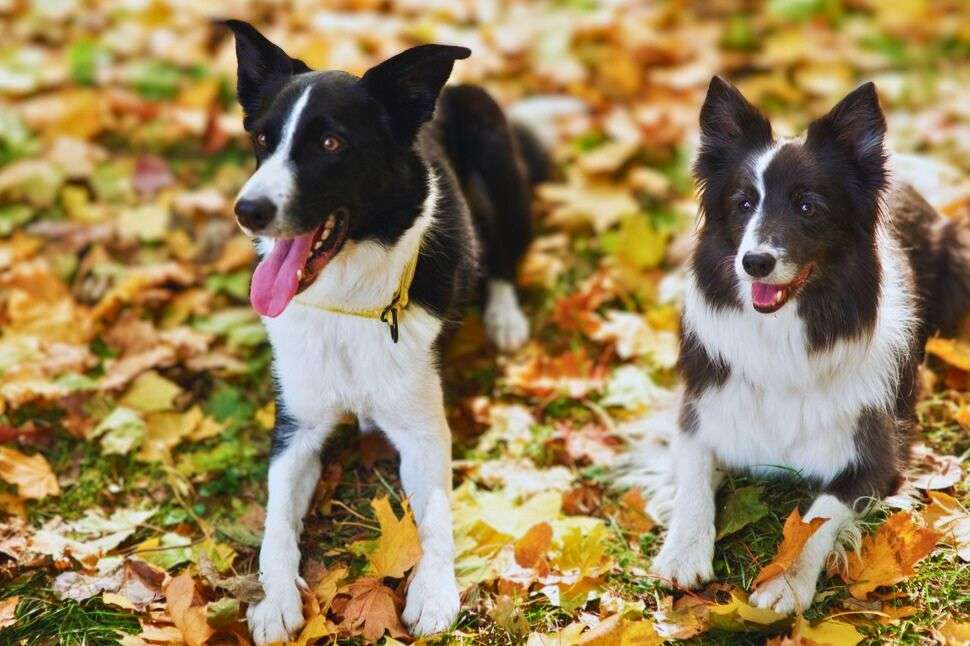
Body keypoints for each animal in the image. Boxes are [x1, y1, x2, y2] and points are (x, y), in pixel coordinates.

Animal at [223, 21, 548, 646]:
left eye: (331, 144)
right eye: (263, 138)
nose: (246, 209)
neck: (346, 304)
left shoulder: (423, 429)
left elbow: (438, 513)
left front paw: (435, 593)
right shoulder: (296, 427)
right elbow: (276, 523)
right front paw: (275, 600)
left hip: (493, 147)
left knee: (503, 257)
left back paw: (504, 318)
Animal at [644, 79, 968, 612]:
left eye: (807, 206)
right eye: (743, 203)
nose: (754, 262)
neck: (782, 334)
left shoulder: (876, 456)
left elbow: (822, 513)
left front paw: (788, 582)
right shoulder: (701, 414)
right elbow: (693, 479)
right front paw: (683, 551)